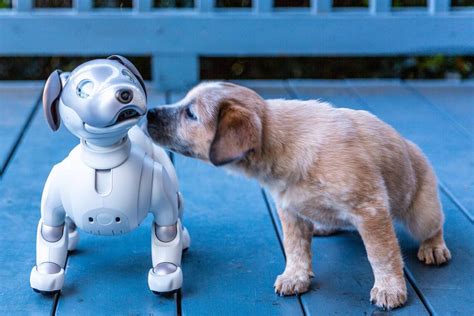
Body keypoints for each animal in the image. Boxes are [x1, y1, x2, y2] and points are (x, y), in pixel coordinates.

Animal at [28, 55, 189, 296]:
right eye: (83, 89)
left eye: (127, 76)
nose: (125, 93)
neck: (105, 159)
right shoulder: (55, 181)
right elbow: (51, 230)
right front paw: (47, 272)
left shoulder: (158, 178)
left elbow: (166, 231)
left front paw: (165, 273)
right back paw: (71, 236)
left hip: (166, 169)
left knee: (177, 206)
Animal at [146, 82, 450, 310]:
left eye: (190, 114)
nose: (149, 112)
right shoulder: (290, 211)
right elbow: (295, 250)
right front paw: (295, 277)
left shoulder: (370, 210)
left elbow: (382, 255)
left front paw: (389, 288)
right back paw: (325, 226)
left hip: (422, 215)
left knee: (434, 227)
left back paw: (433, 248)